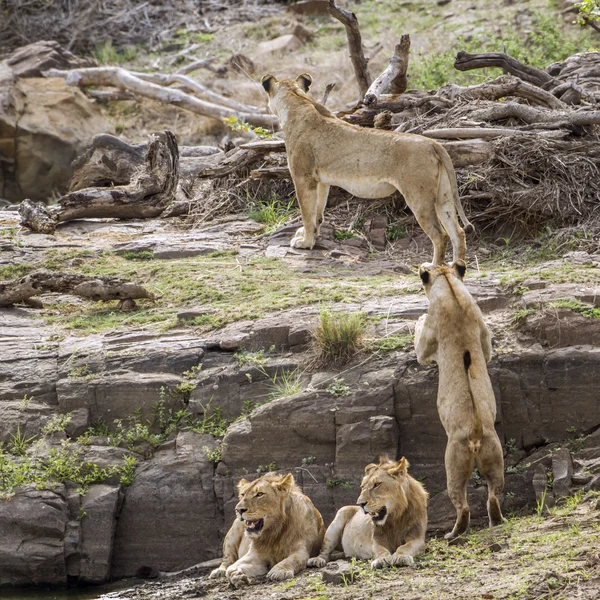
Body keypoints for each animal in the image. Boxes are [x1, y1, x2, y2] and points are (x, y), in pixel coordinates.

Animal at [262, 72, 474, 264]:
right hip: (443, 196)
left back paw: (435, 268)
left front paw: (304, 243)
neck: (298, 102)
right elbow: (318, 214)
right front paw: (312, 238)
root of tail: (432, 143)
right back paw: (457, 268)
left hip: (419, 196)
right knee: (458, 232)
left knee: (440, 235)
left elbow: (307, 213)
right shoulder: (321, 181)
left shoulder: (302, 177)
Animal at [412, 260, 506, 540]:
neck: (451, 290)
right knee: (494, 494)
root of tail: (475, 432)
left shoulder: (425, 346)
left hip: (453, 463)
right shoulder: (484, 336)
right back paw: (497, 521)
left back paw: (452, 534)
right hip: (495, 456)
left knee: (462, 505)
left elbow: (419, 341)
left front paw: (417, 318)